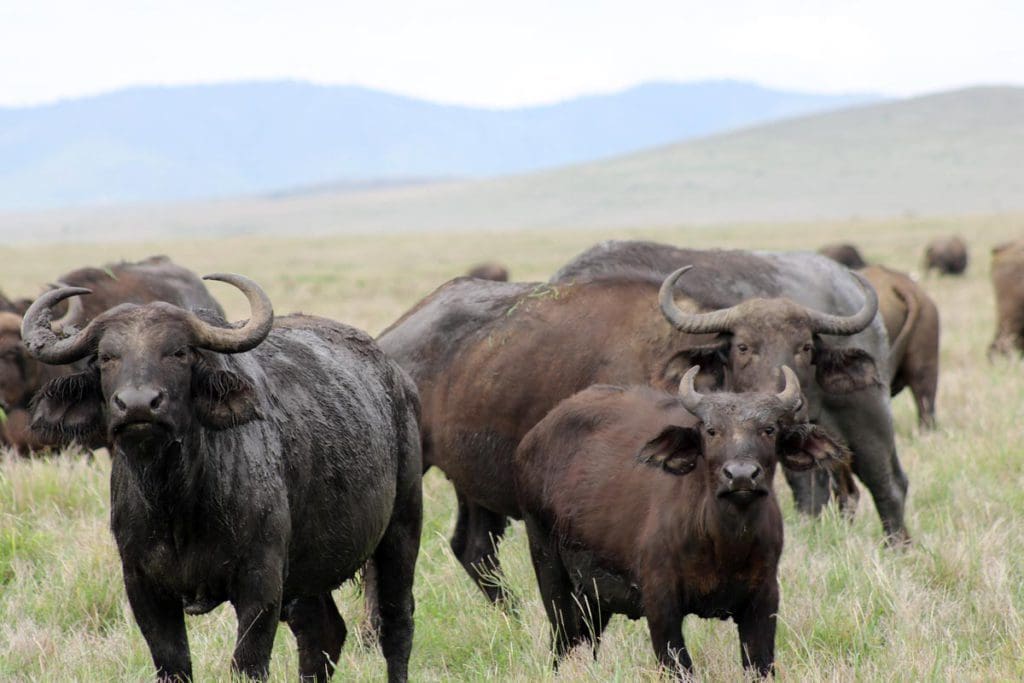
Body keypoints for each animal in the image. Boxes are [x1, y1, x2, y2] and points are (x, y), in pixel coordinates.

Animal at [20, 278, 419, 683]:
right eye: (106, 356)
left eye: (179, 352)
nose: (138, 405)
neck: (176, 504)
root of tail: (398, 380)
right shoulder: (143, 586)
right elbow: (174, 664)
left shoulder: (261, 584)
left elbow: (247, 664)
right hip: (308, 571)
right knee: (323, 632)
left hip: (401, 532)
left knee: (397, 624)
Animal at [380, 245, 901, 602]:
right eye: (743, 346)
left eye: (806, 346)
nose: (786, 402)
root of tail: (394, 338)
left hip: (473, 483)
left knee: (474, 549)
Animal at [516, 366, 843, 675]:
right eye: (711, 431)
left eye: (769, 429)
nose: (740, 475)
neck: (724, 544)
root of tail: (533, 439)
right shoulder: (661, 603)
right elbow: (679, 666)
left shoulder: (764, 600)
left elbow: (760, 664)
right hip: (547, 562)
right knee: (562, 638)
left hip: (593, 594)